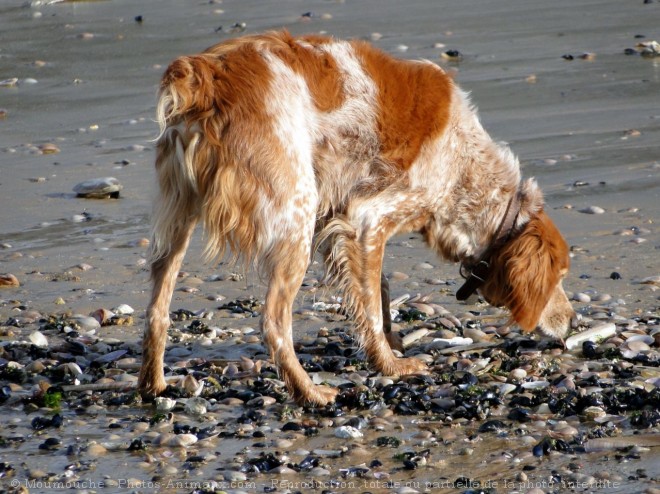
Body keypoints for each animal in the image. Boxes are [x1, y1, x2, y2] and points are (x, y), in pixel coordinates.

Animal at [137, 32, 576, 408]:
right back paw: (310, 392)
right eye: (560, 277)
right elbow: (372, 310)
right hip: (296, 216)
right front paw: (392, 365)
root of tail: (203, 75)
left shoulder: (341, 225)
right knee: (273, 323)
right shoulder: (368, 219)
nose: (573, 322)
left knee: (157, 311)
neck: (465, 164)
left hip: (177, 222)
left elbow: (376, 293)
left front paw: (393, 344)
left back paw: (153, 385)